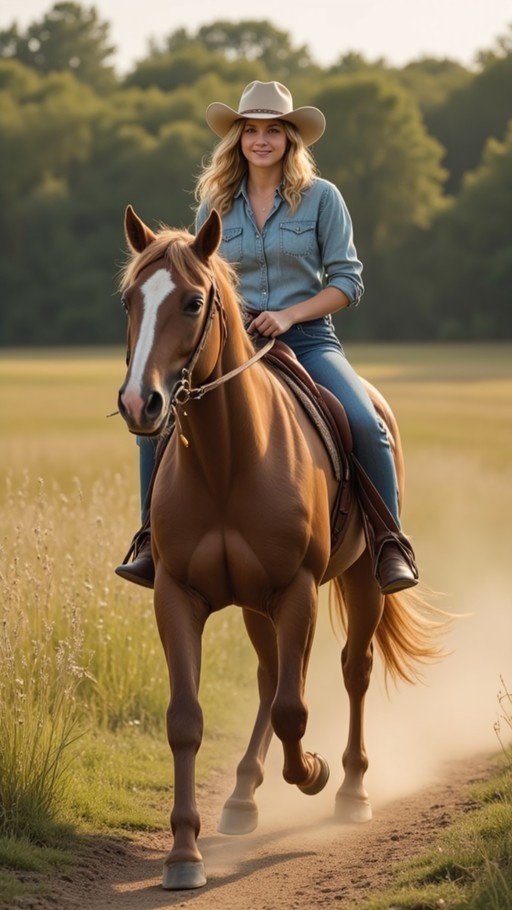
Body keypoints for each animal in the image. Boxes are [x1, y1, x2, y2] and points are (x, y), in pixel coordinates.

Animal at [116, 204, 443, 890]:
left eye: (192, 302)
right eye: (131, 299)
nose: (140, 402)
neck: (227, 460)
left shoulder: (297, 589)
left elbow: (297, 709)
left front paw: (313, 771)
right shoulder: (176, 594)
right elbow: (185, 719)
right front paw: (183, 854)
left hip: (360, 582)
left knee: (351, 670)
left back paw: (351, 789)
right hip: (253, 602)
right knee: (270, 678)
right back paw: (242, 796)